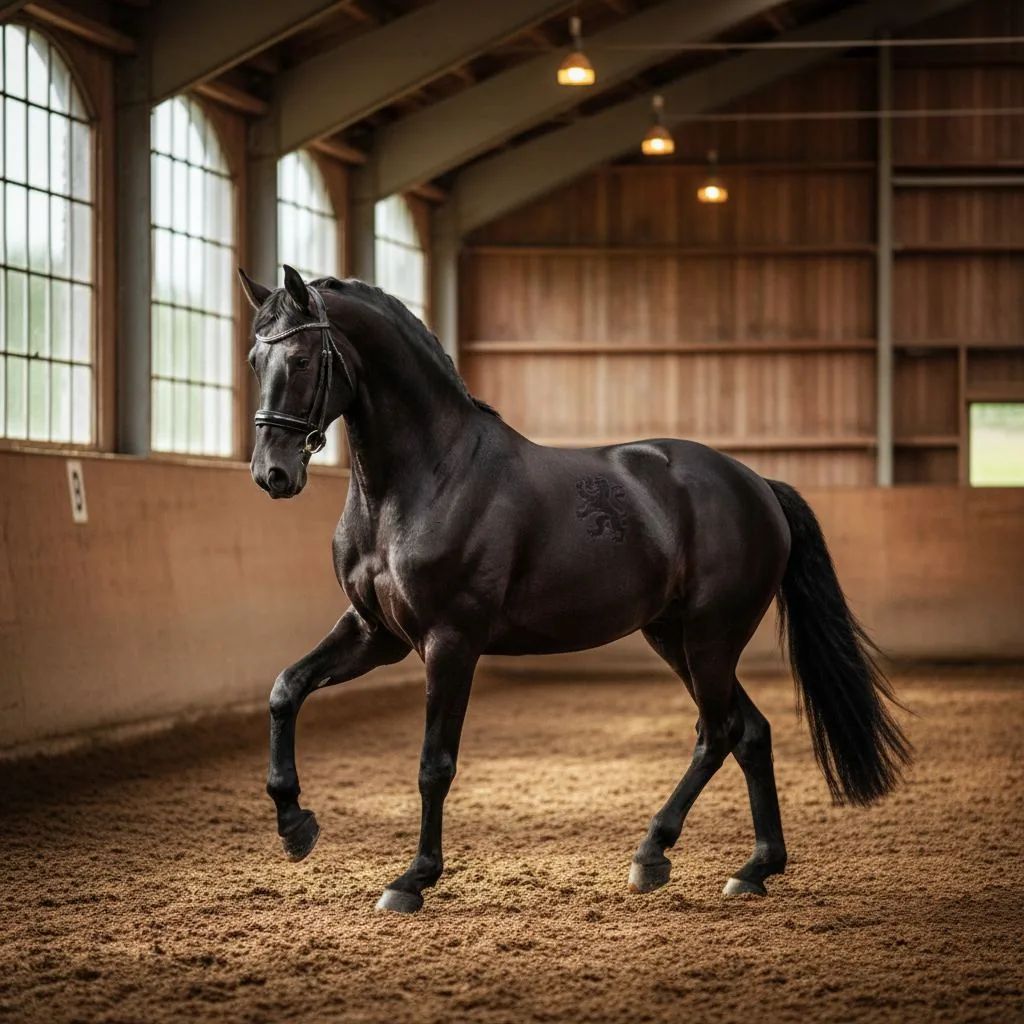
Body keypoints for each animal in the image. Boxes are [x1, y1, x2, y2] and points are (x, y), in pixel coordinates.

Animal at [238, 265, 912, 915]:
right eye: (254, 360)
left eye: (303, 360)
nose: (273, 474)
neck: (426, 477)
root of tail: (757, 485)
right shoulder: (376, 634)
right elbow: (285, 690)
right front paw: (295, 825)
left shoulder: (450, 642)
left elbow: (435, 764)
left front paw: (413, 879)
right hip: (675, 637)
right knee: (749, 732)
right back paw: (754, 869)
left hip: (711, 637)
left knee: (717, 733)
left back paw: (653, 854)